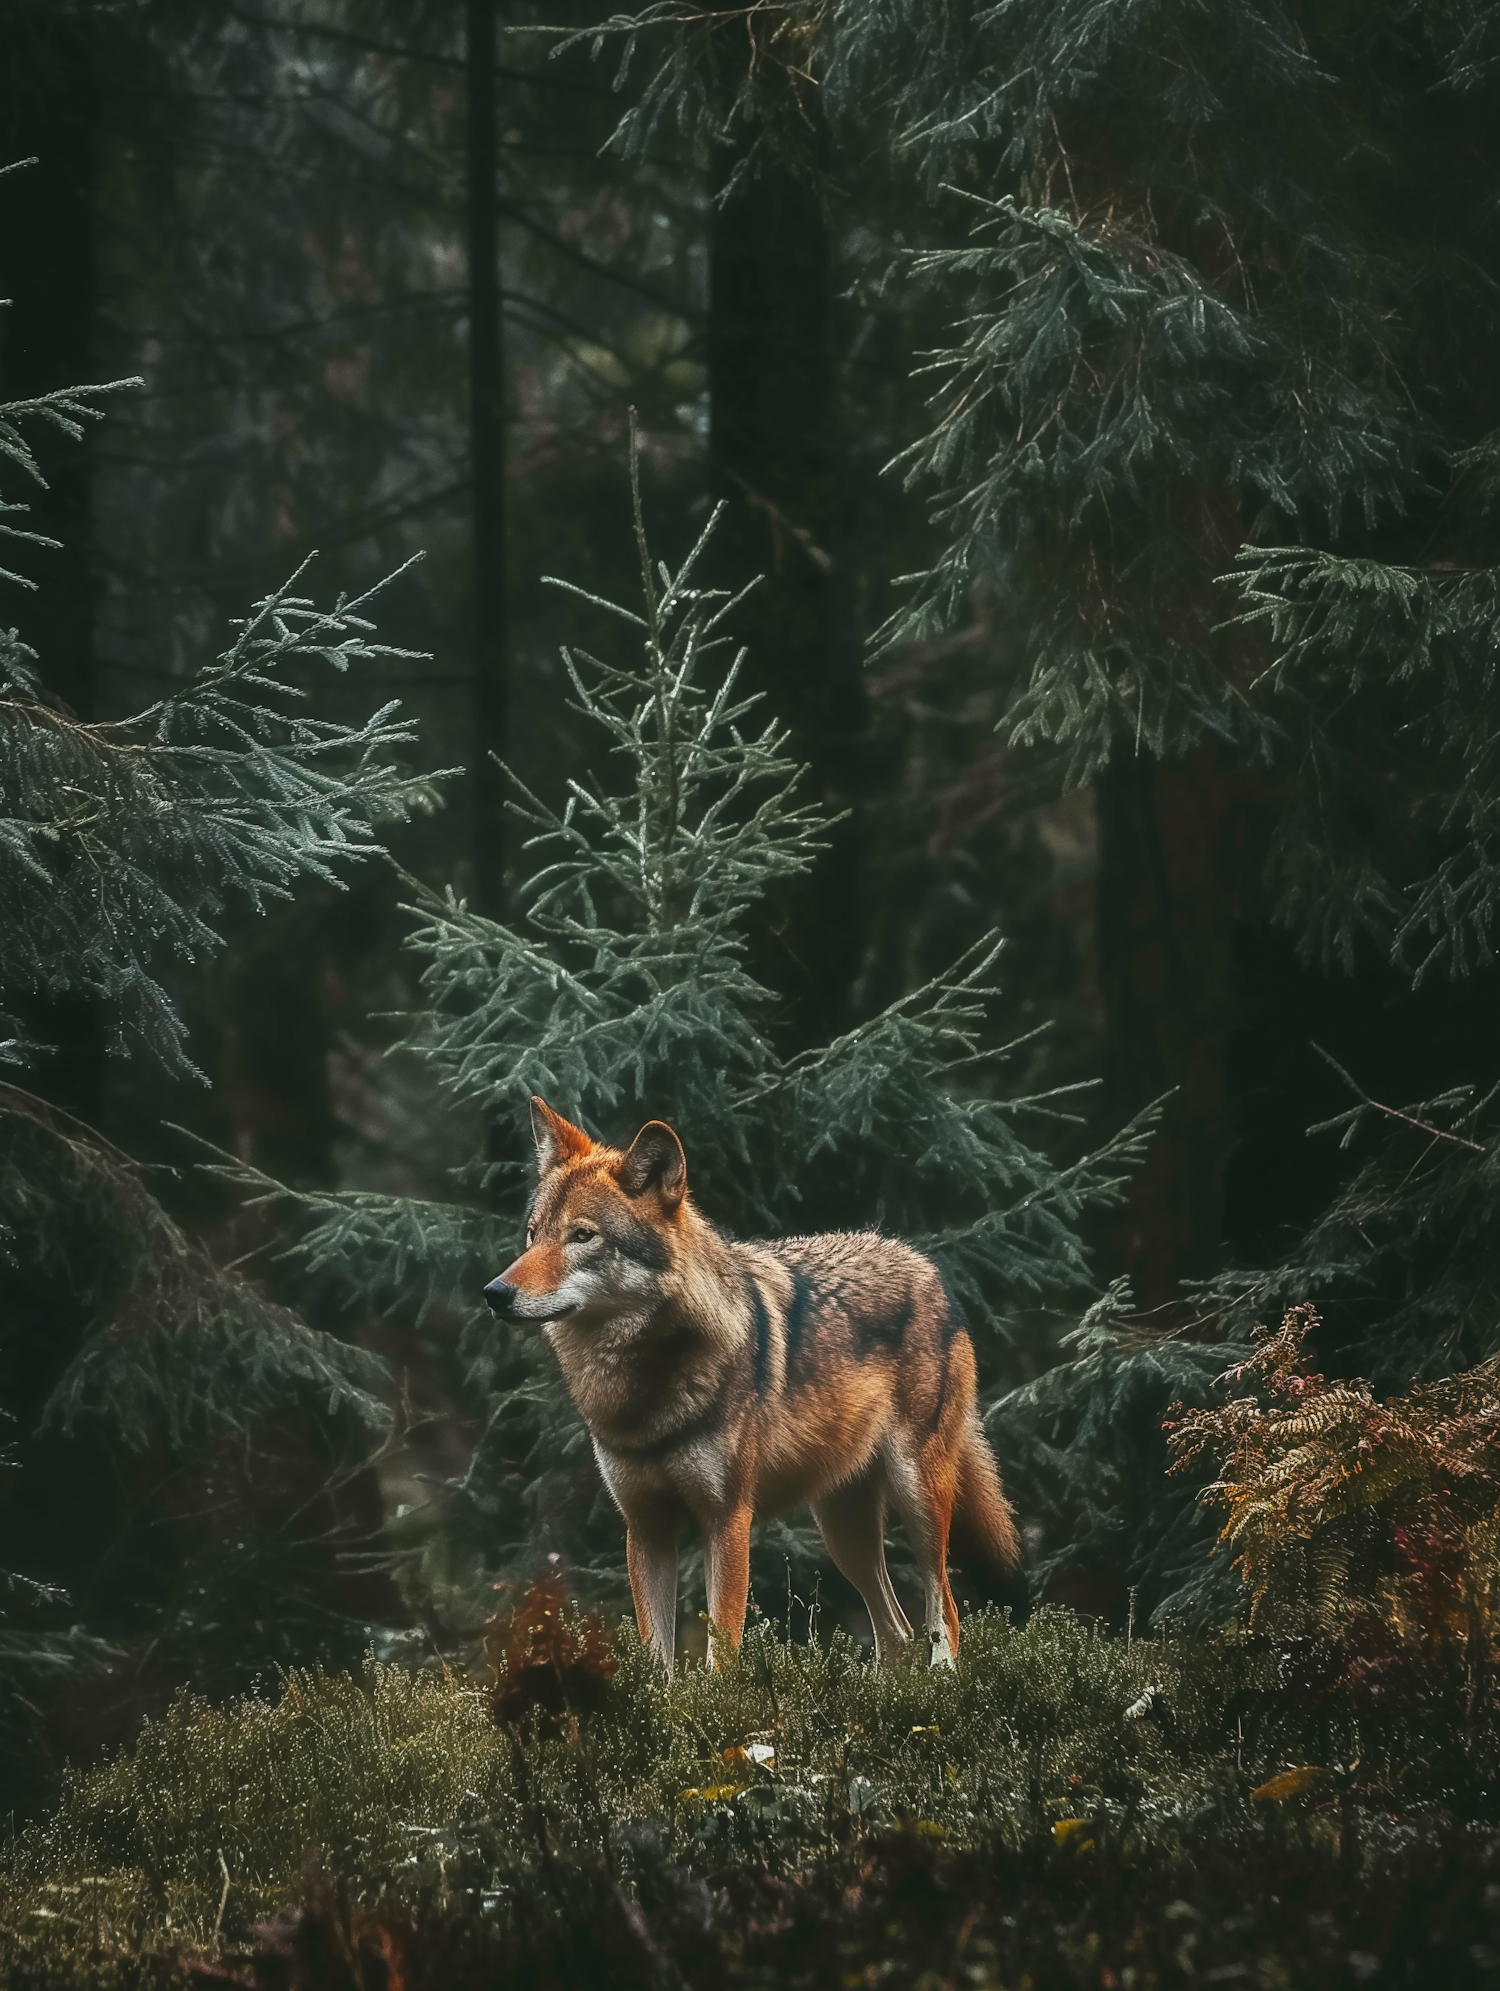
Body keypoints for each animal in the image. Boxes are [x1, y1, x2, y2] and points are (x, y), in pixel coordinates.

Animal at [486, 1099, 1027, 1672]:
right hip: (843, 1531)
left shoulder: (728, 1521)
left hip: (917, 1499)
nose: (493, 1293)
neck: (643, 1390)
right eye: (532, 1233)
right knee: (897, 1632)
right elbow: (658, 1663)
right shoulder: (645, 1529)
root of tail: (928, 1268)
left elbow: (720, 1657)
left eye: (583, 1236)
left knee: (945, 1610)